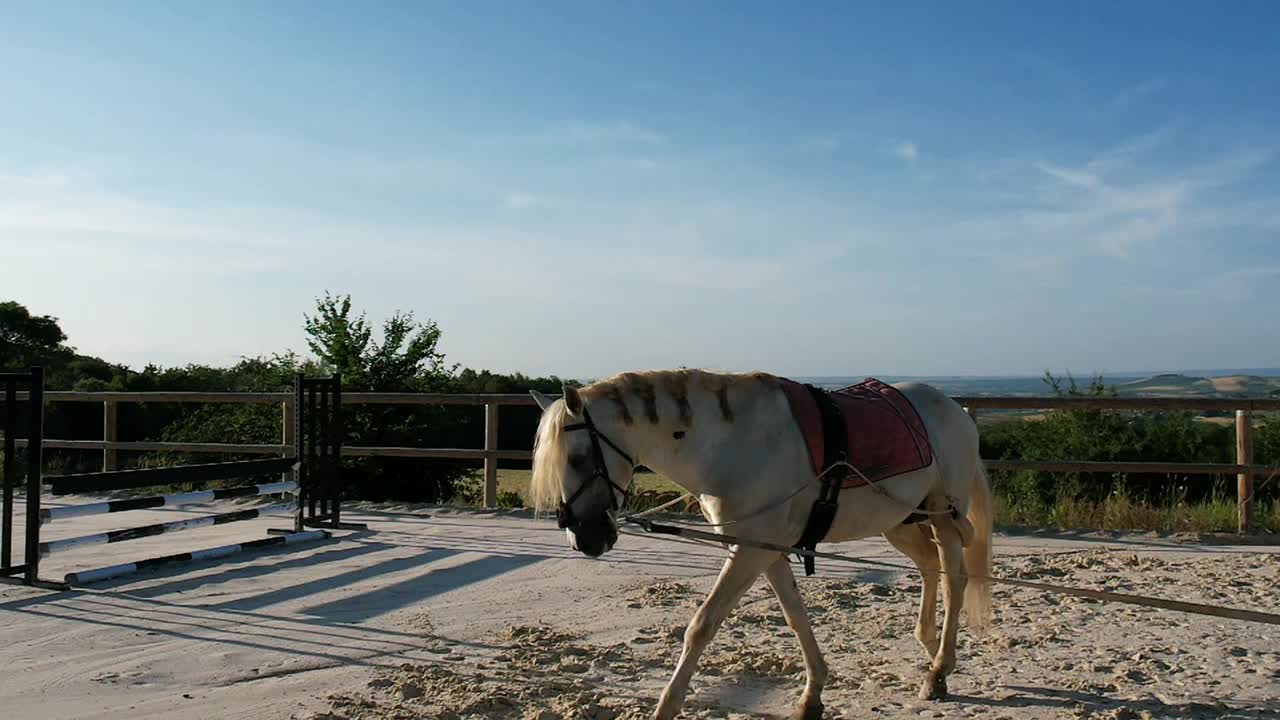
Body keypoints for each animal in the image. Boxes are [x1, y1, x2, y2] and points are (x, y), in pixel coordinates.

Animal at [524, 368, 993, 717]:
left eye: (578, 458)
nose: (583, 538)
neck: (732, 445)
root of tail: (954, 408)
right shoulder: (765, 549)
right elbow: (795, 616)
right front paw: (812, 694)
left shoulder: (749, 549)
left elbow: (702, 625)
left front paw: (667, 706)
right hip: (900, 521)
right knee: (929, 566)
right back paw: (931, 645)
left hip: (943, 516)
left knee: (953, 580)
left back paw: (938, 670)